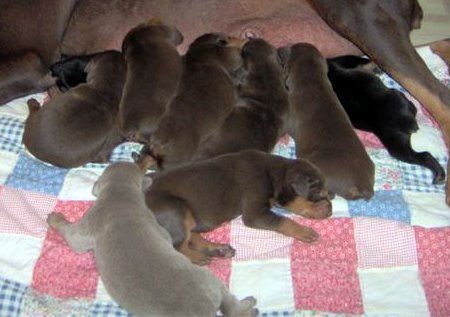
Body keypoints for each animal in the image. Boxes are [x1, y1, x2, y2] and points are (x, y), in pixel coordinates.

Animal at [47, 162, 258, 316]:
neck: (121, 192)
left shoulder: (91, 222)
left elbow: (73, 237)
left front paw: (55, 218)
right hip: (213, 284)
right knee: (229, 304)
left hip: (210, 280)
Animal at [142, 149, 332, 262]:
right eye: (318, 194)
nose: (330, 210)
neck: (274, 173)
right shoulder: (256, 215)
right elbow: (284, 220)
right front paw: (305, 231)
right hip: (176, 209)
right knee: (177, 247)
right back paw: (199, 258)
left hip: (186, 217)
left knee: (192, 237)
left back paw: (218, 250)